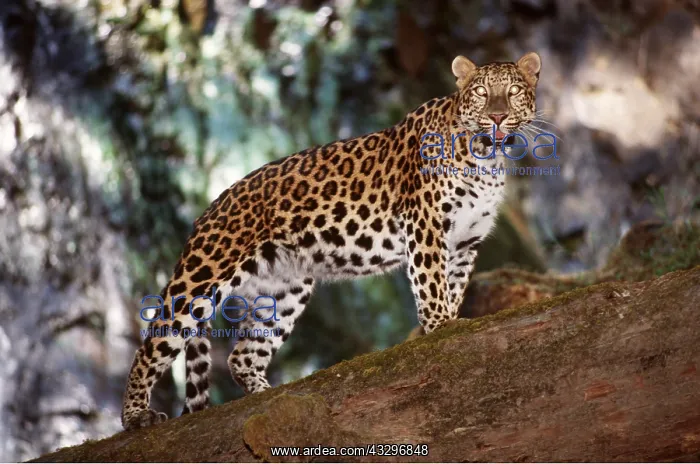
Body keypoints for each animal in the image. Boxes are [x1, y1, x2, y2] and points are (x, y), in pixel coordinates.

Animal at [121, 52, 542, 430]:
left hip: (284, 291)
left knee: (242, 355)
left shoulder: (465, 243)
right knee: (152, 343)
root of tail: (208, 208)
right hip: (202, 277)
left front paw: (450, 322)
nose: (498, 116)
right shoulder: (426, 225)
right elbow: (432, 286)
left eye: (513, 91)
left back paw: (265, 392)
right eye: (482, 92)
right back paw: (136, 415)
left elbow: (453, 287)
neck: (485, 157)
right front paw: (439, 328)